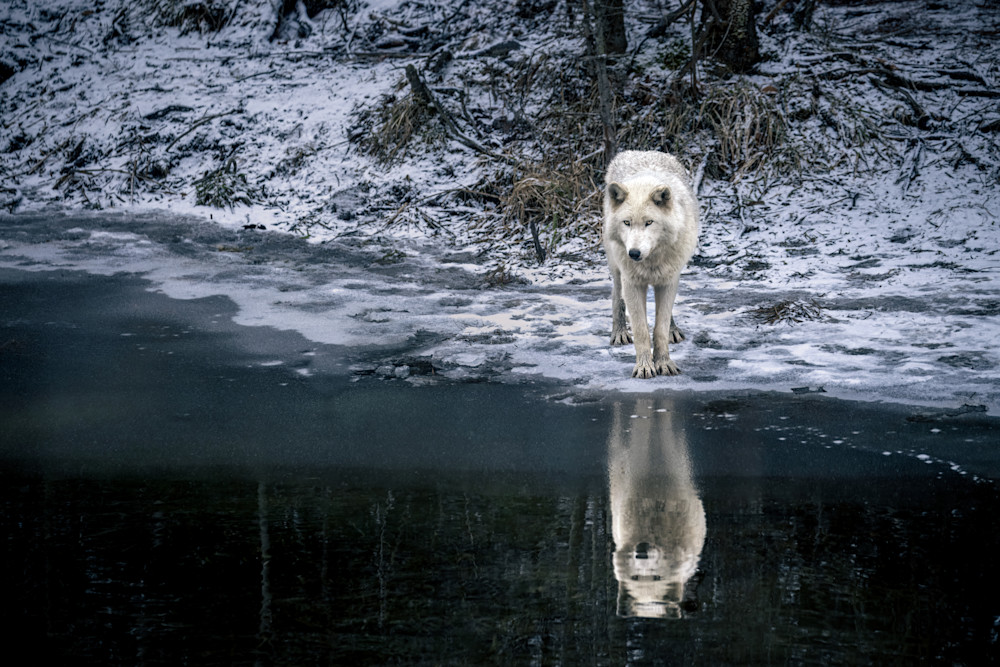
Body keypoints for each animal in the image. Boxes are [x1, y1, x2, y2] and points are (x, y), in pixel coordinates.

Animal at [602, 150, 699, 378]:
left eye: (649, 223)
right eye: (627, 223)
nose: (634, 253)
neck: (651, 260)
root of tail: (641, 151)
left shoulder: (668, 280)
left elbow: (659, 328)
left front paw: (664, 363)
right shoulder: (632, 283)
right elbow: (641, 331)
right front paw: (645, 366)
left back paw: (673, 330)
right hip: (617, 268)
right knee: (616, 296)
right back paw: (619, 332)